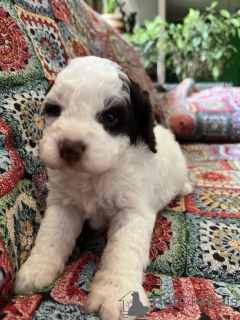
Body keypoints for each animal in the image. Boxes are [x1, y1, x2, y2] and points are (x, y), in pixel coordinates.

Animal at [14, 56, 192, 318]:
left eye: (109, 117)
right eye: (55, 110)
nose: (69, 147)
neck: (94, 175)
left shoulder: (133, 209)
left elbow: (123, 250)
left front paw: (115, 293)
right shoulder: (63, 204)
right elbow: (52, 234)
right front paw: (37, 268)